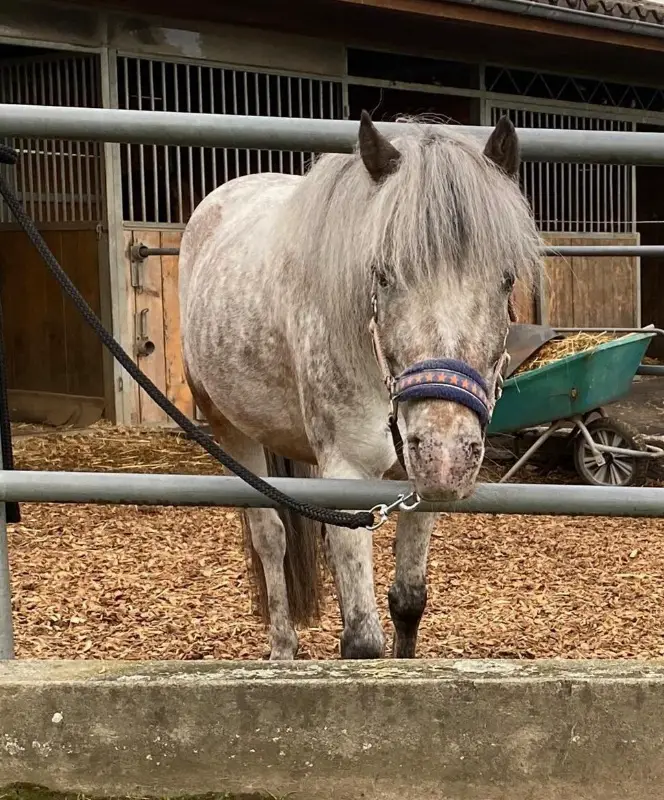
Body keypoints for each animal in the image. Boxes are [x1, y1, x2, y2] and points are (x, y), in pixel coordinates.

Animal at [178, 112, 543, 660]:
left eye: (505, 279)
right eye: (384, 275)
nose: (445, 453)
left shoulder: (417, 489)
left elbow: (409, 602)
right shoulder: (347, 472)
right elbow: (363, 641)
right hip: (230, 429)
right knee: (270, 536)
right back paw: (282, 650)